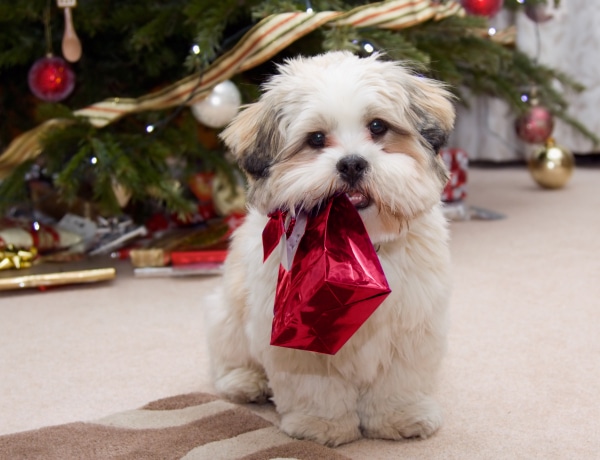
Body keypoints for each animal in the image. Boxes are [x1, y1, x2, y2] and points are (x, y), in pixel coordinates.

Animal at [206, 49, 454, 446]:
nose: (352, 163)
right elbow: (316, 388)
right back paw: (246, 381)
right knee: (228, 356)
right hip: (226, 312)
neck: (356, 246)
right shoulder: (296, 336)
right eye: (316, 138)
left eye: (378, 127)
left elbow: (399, 382)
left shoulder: (412, 326)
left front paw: (399, 416)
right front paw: (321, 424)